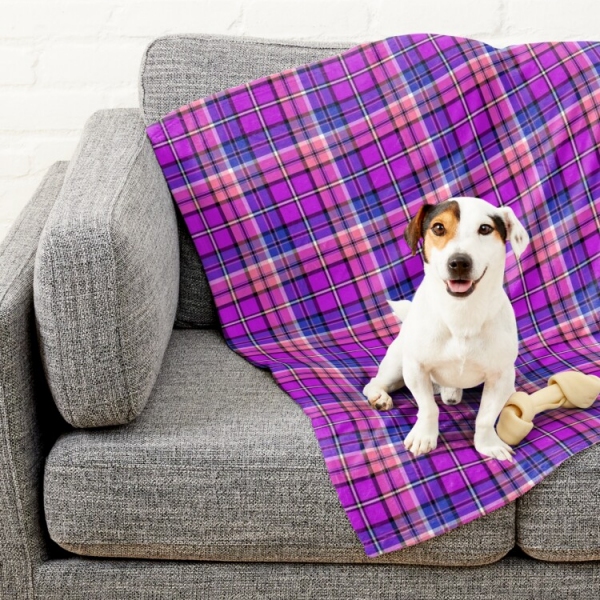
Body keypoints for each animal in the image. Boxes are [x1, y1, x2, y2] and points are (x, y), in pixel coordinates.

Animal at [364, 197, 528, 460]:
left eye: (485, 228)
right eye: (439, 228)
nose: (459, 262)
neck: (461, 314)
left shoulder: (500, 376)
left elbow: (485, 417)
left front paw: (488, 444)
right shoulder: (416, 368)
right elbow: (428, 408)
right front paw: (424, 437)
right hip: (397, 364)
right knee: (374, 382)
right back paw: (379, 396)